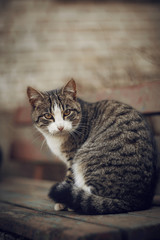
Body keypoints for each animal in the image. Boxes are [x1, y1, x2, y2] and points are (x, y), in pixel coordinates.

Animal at [26, 79, 157, 215]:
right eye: (47, 115)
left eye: (67, 112)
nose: (60, 127)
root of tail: (136, 200)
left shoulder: (72, 158)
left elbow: (69, 178)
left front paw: (61, 203)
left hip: (87, 159)